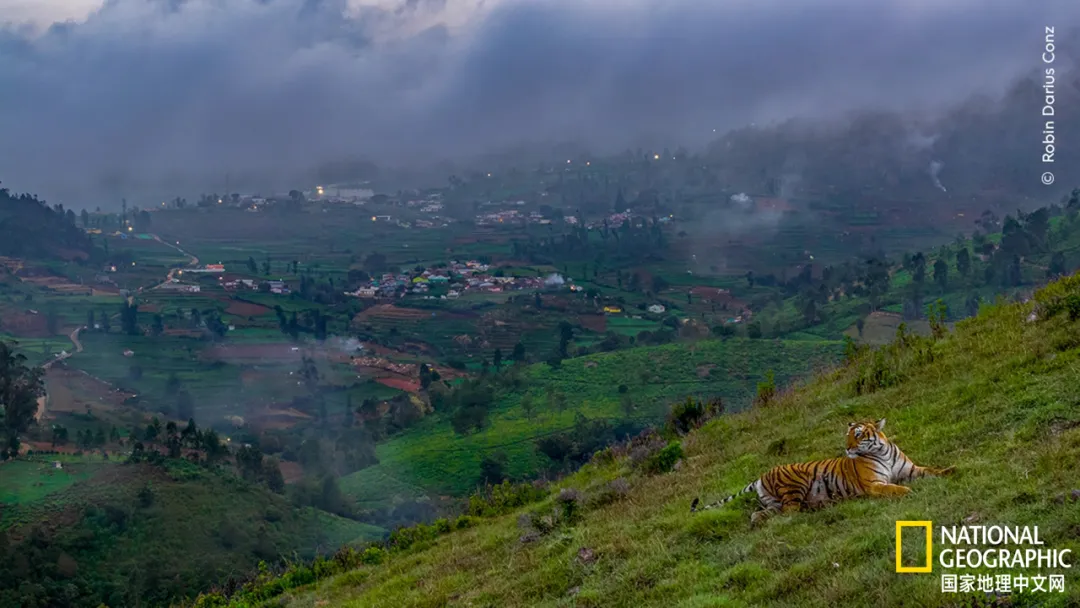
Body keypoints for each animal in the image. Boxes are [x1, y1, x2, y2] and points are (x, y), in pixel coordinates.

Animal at [691, 419, 954, 522]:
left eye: (858, 434)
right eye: (848, 435)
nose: (846, 448)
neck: (882, 452)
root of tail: (759, 477)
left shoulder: (910, 469)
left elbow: (931, 470)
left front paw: (951, 470)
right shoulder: (874, 485)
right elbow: (893, 488)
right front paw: (907, 492)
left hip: (772, 502)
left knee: (762, 514)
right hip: (796, 485)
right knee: (790, 512)